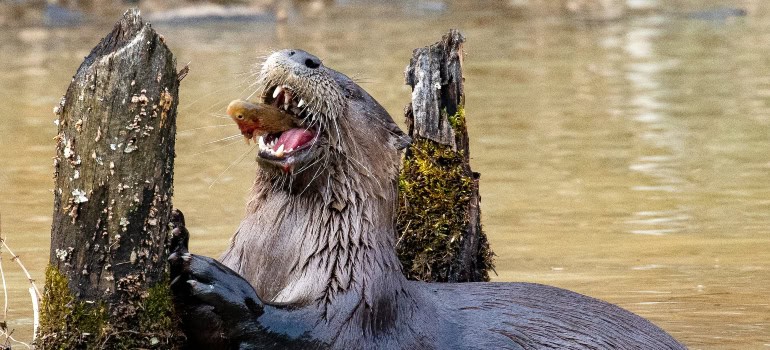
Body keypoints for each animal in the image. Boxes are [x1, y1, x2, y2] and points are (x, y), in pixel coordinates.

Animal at [170, 50, 684, 350]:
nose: (301, 54)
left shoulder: (361, 309)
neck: (274, 259)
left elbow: (309, 332)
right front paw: (176, 230)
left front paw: (225, 289)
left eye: (351, 91)